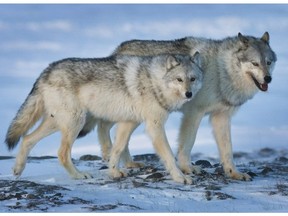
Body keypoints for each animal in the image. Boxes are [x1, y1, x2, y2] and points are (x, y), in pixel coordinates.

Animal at [4, 53, 202, 183]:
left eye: (192, 79)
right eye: (179, 79)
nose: (189, 94)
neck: (154, 82)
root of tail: (46, 71)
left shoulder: (128, 123)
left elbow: (117, 149)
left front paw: (113, 172)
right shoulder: (154, 126)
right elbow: (168, 155)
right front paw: (180, 177)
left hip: (59, 122)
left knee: (27, 139)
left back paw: (17, 170)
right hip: (75, 122)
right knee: (61, 153)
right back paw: (78, 175)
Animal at [81, 31, 276, 181]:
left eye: (268, 62)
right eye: (255, 63)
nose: (268, 79)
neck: (222, 71)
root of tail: (117, 50)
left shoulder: (221, 117)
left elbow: (227, 150)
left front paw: (233, 173)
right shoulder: (194, 112)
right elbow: (188, 142)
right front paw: (187, 168)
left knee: (111, 130)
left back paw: (127, 162)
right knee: (104, 126)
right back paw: (109, 155)